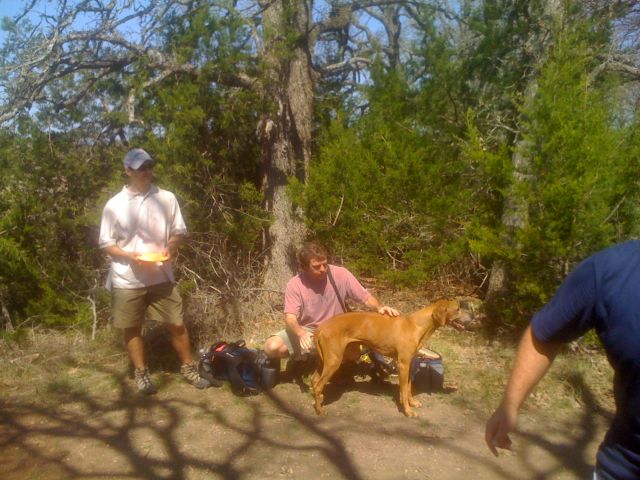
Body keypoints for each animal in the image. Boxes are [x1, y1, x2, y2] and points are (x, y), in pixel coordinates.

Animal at [310, 300, 460, 416]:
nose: (470, 318)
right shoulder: (403, 365)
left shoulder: (409, 364)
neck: (416, 325)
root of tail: (321, 327)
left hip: (324, 361)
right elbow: (403, 390)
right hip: (333, 361)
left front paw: (412, 402)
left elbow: (408, 387)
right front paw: (407, 411)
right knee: (318, 386)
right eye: (458, 309)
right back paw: (320, 410)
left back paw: (317, 402)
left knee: (314, 381)